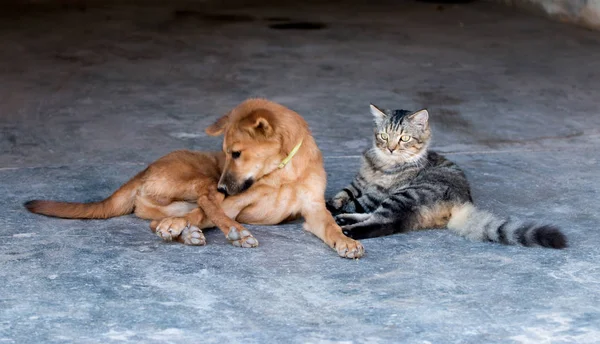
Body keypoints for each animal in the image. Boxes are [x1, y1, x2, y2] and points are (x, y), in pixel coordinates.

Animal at [24, 99, 366, 258]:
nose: (224, 185)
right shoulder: (235, 201)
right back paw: (215, 231)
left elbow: (331, 226)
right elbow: (208, 209)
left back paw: (186, 232)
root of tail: (143, 172)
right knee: (198, 206)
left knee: (162, 219)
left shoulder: (314, 210)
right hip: (197, 180)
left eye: (237, 153)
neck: (283, 173)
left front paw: (346, 242)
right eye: (226, 154)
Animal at [328, 103, 568, 249]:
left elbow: (353, 202)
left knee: (384, 222)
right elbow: (343, 195)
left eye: (404, 138)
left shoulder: (378, 193)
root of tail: (462, 203)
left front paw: (328, 207)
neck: (382, 164)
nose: (391, 149)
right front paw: (334, 204)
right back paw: (343, 220)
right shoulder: (358, 183)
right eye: (384, 136)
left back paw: (347, 229)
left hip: (405, 194)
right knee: (384, 220)